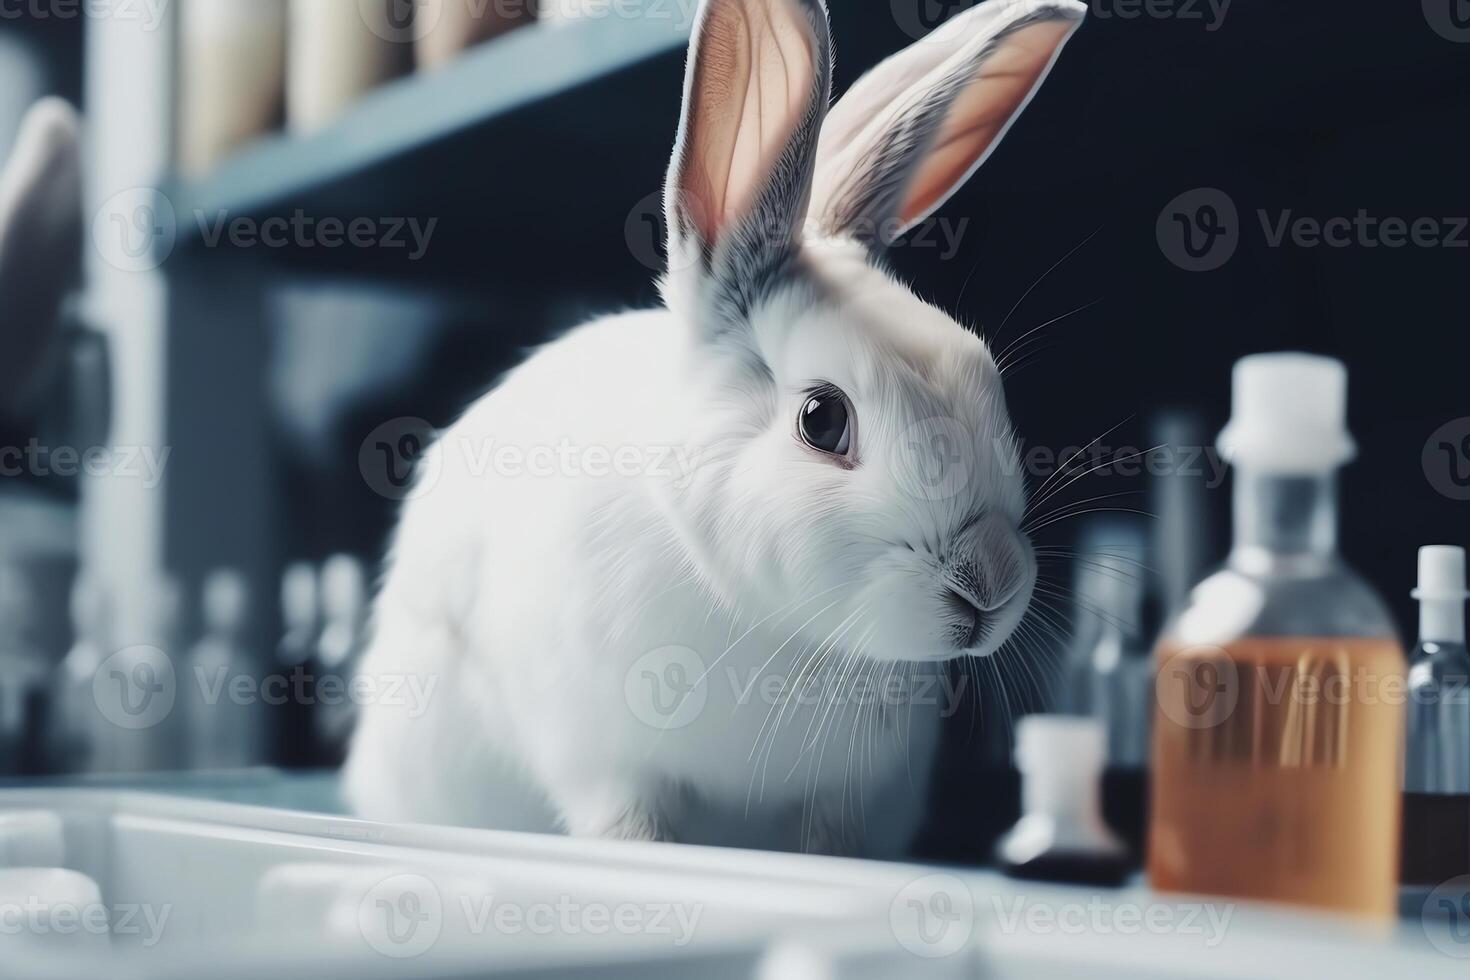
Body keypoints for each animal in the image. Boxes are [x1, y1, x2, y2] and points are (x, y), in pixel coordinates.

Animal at [341, 0, 1081, 858]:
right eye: (822, 419)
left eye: (986, 377)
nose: (988, 584)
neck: (776, 628)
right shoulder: (601, 759)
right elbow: (629, 823)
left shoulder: (844, 793)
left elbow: (827, 842)